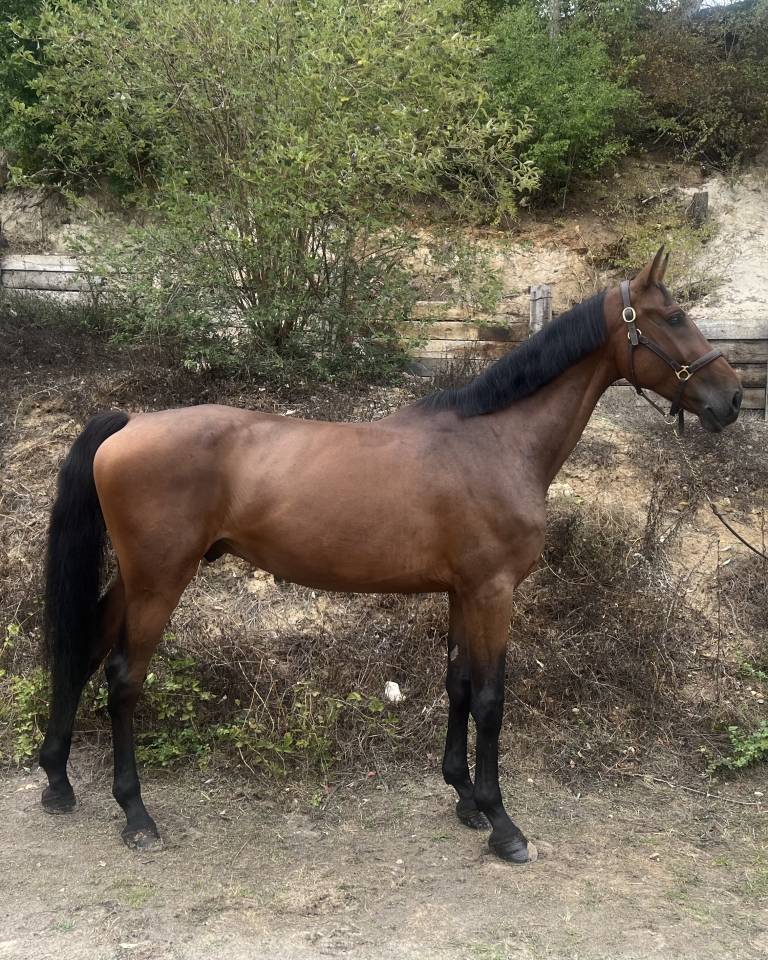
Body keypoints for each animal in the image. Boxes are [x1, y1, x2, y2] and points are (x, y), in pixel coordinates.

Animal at [39, 247, 742, 863]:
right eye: (674, 317)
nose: (732, 398)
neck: (495, 441)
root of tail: (131, 423)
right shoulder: (493, 591)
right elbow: (491, 700)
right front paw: (503, 824)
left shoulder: (463, 592)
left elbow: (459, 685)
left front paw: (465, 800)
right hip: (160, 581)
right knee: (123, 678)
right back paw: (136, 814)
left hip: (138, 580)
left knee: (85, 650)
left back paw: (58, 782)